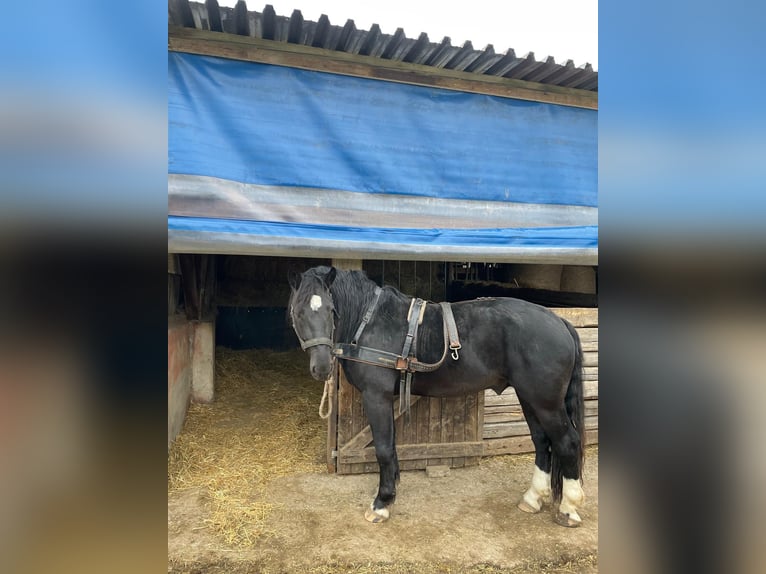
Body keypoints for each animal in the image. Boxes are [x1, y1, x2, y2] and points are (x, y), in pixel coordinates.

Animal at [288, 268, 588, 528]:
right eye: (298, 312)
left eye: (331, 310)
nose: (322, 367)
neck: (370, 322)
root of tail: (560, 321)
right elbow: (391, 447)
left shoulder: (376, 397)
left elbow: (383, 449)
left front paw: (382, 503)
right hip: (529, 399)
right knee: (542, 442)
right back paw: (533, 498)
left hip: (546, 403)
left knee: (567, 442)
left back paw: (568, 508)